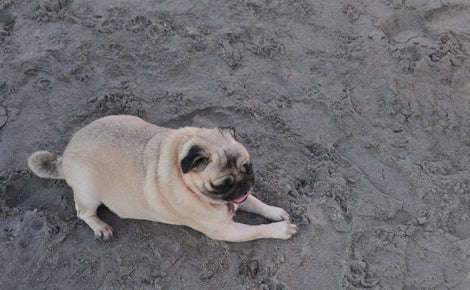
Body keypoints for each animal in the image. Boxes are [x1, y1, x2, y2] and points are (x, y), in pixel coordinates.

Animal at [27, 114, 298, 241]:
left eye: (248, 167)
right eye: (221, 185)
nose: (244, 184)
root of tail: (64, 156)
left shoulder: (241, 197)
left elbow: (257, 203)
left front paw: (274, 211)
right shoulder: (225, 230)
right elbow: (256, 231)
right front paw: (280, 229)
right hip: (88, 190)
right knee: (83, 212)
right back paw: (101, 227)